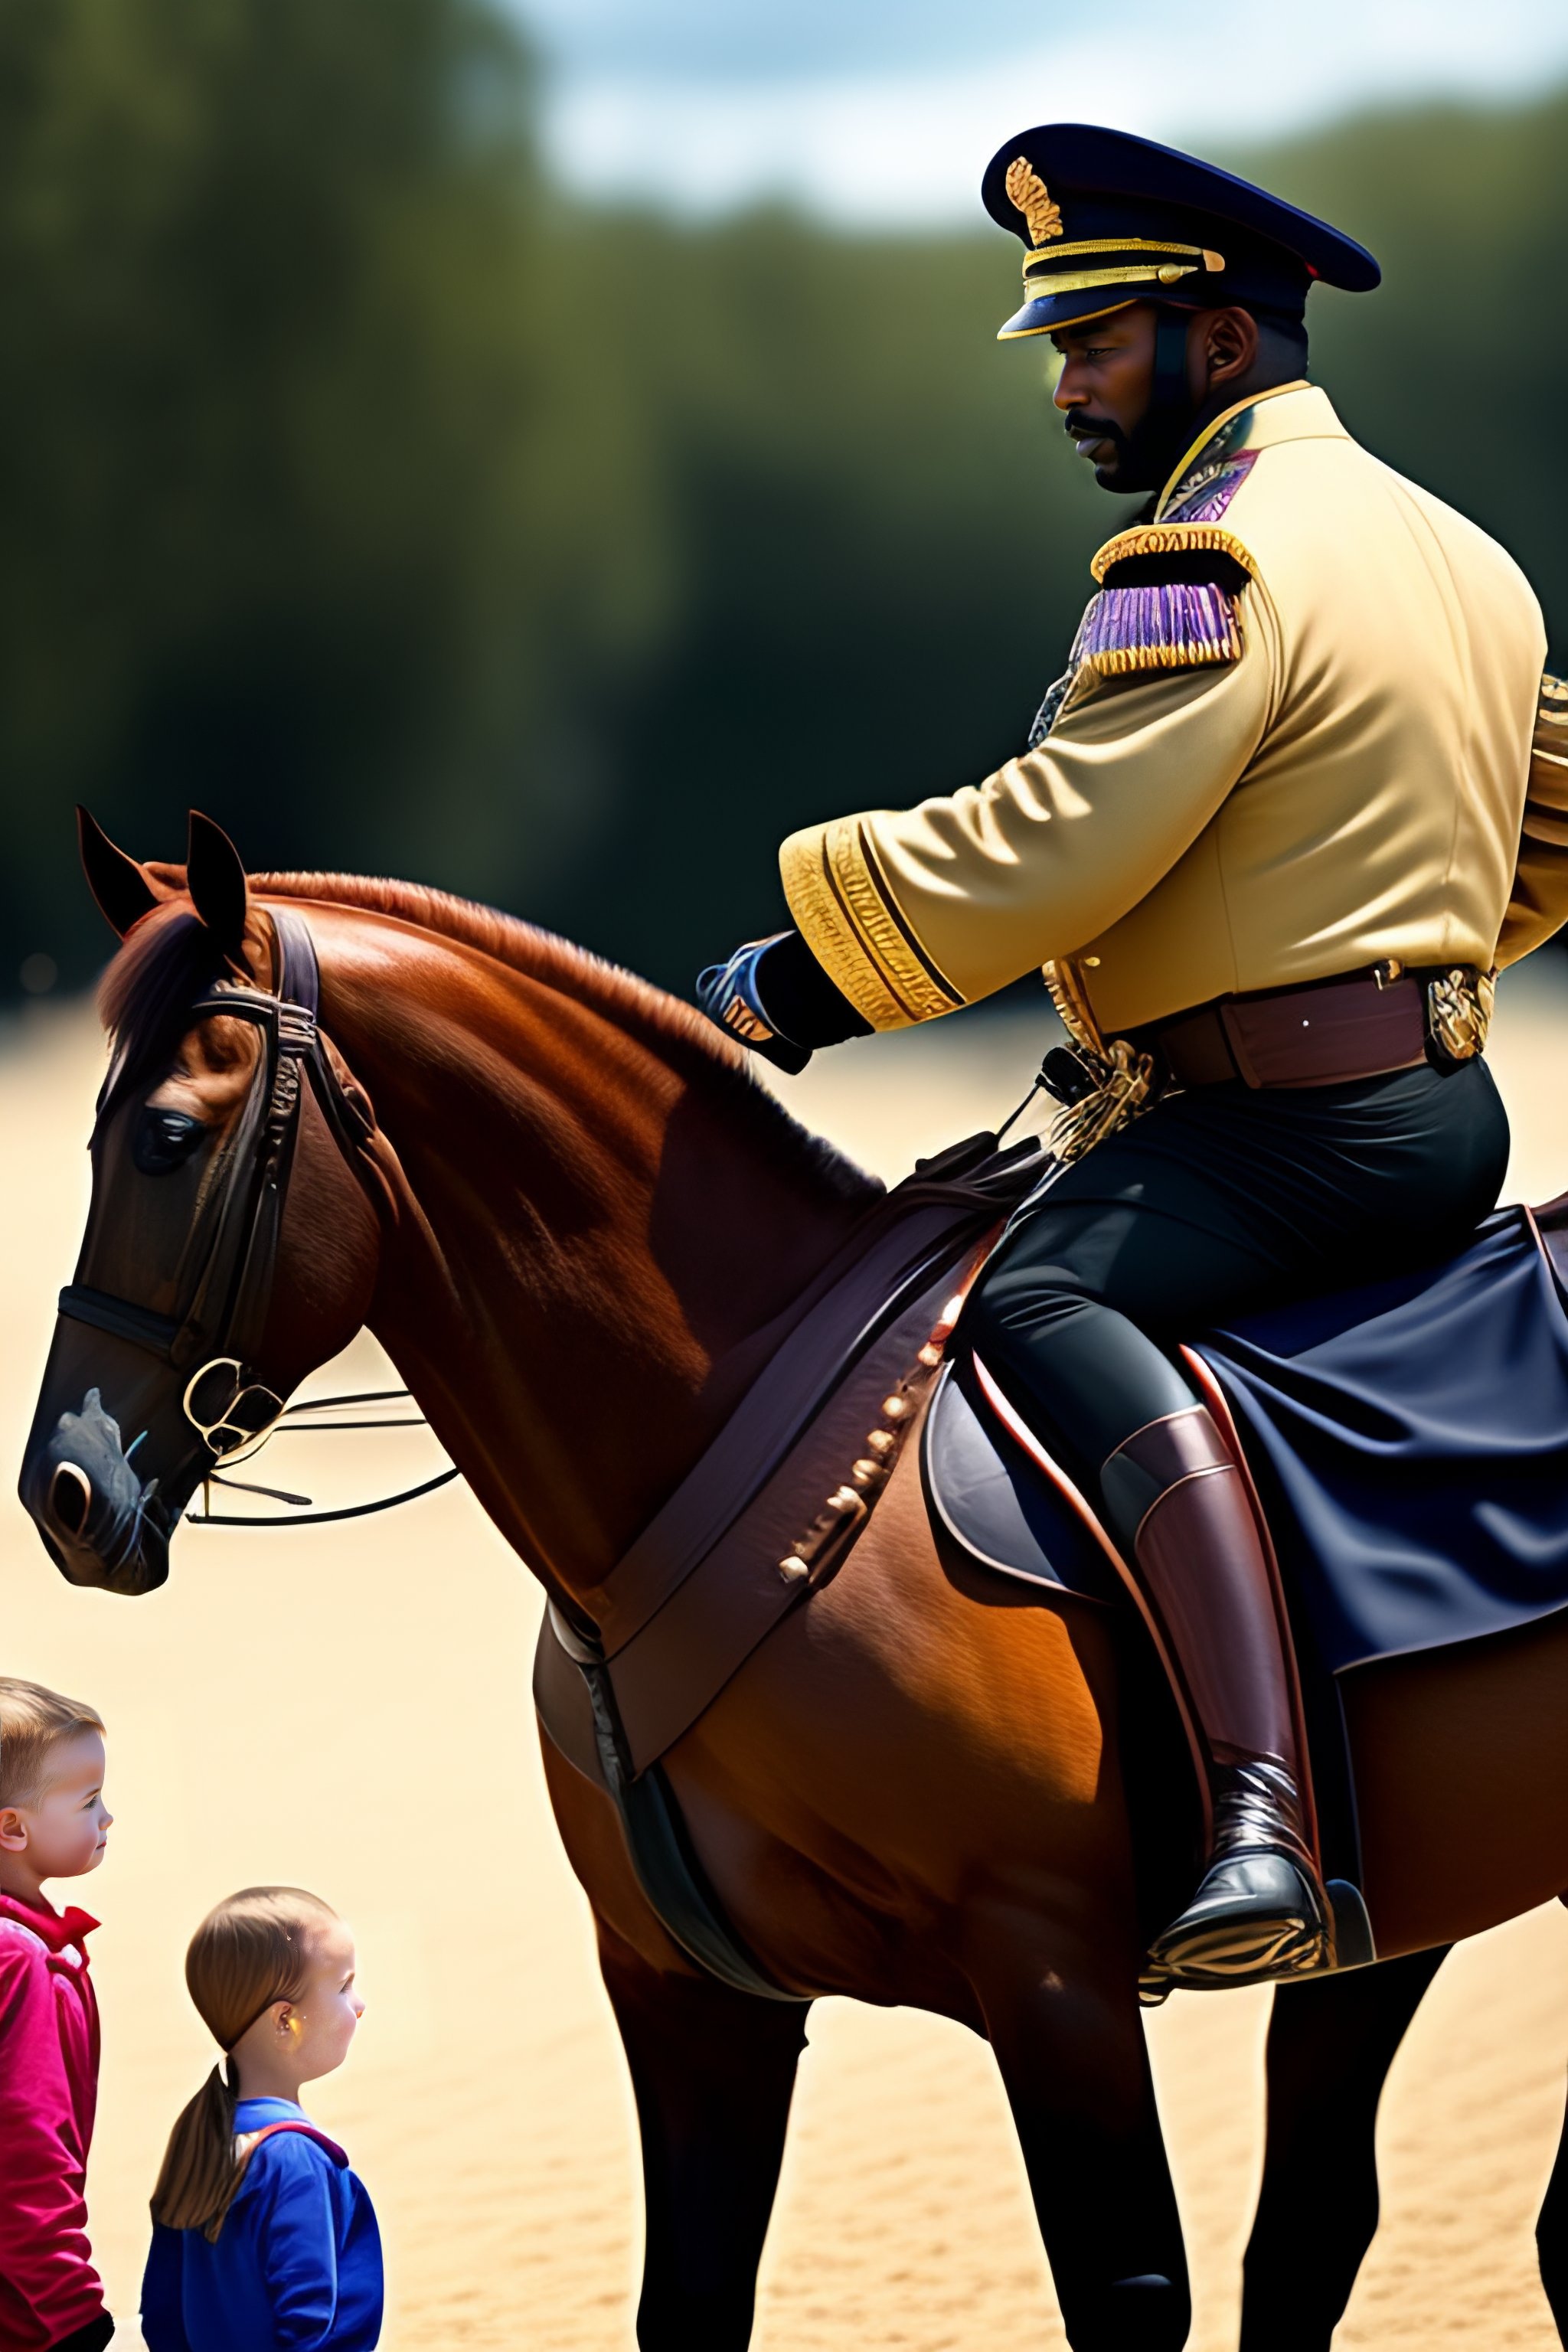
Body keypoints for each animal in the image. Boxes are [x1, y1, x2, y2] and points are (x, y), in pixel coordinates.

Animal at [18, 815, 1568, 2352]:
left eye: (166, 1139)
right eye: (87, 1135)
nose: (64, 1491)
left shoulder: (1053, 1979)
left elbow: (1128, 2290)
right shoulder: (691, 2005)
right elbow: (691, 2298)